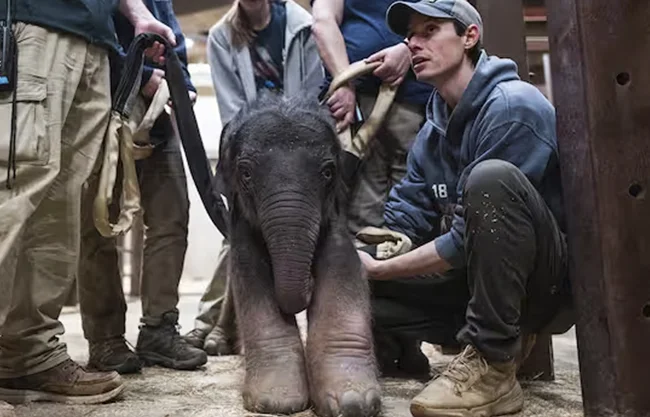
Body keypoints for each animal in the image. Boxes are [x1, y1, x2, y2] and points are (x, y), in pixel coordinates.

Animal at [216, 92, 381, 417]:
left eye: (328, 172)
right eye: (246, 173)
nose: (308, 284)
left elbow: (342, 265)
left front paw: (354, 401)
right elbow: (249, 272)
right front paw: (277, 400)